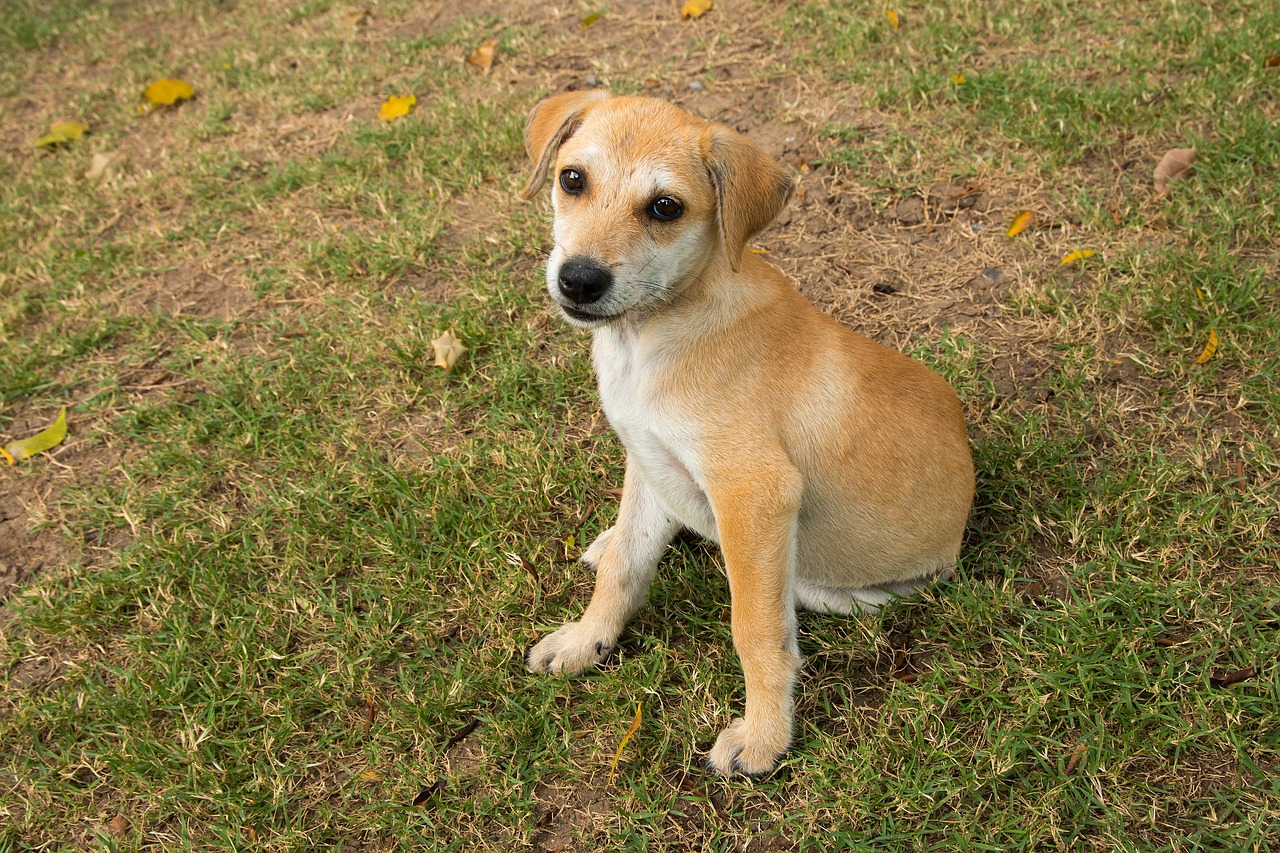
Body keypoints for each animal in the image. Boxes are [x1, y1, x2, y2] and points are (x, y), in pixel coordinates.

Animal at [519, 89, 967, 773]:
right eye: (572, 179)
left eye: (665, 207)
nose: (580, 280)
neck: (652, 334)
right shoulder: (648, 457)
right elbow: (626, 564)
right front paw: (586, 641)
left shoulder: (755, 492)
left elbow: (755, 629)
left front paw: (763, 738)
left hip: (833, 583)